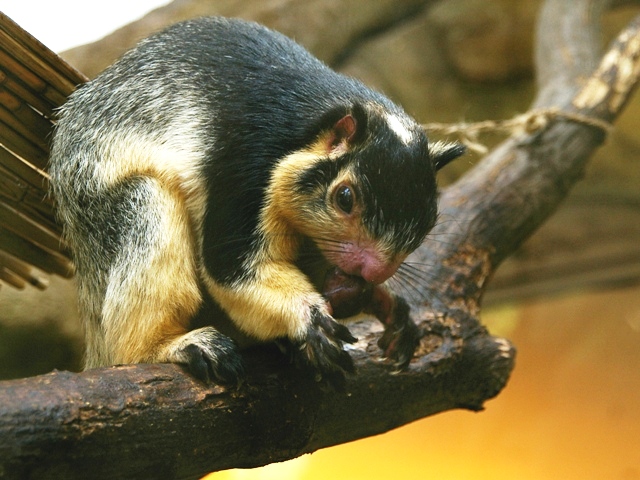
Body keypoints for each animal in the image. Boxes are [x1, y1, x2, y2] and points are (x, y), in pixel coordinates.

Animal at [50, 16, 464, 384]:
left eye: (429, 222)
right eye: (345, 198)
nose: (374, 270)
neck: (308, 126)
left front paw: (386, 305)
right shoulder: (246, 168)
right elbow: (232, 269)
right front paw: (310, 317)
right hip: (123, 212)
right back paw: (173, 347)